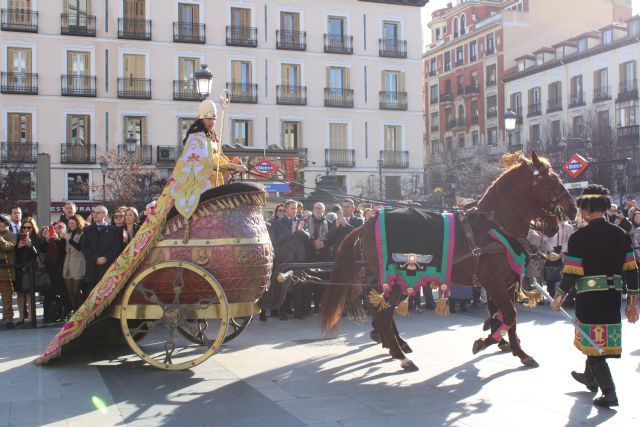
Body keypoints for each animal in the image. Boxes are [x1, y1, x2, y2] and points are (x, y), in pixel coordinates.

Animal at [322, 153, 576, 372]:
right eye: (551, 180)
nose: (572, 209)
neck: (495, 227)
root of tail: (368, 222)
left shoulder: (509, 283)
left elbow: (509, 317)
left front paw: (518, 351)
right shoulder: (494, 283)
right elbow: (509, 315)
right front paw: (485, 341)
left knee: (380, 311)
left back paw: (394, 345)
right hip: (395, 280)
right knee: (383, 316)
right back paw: (401, 357)